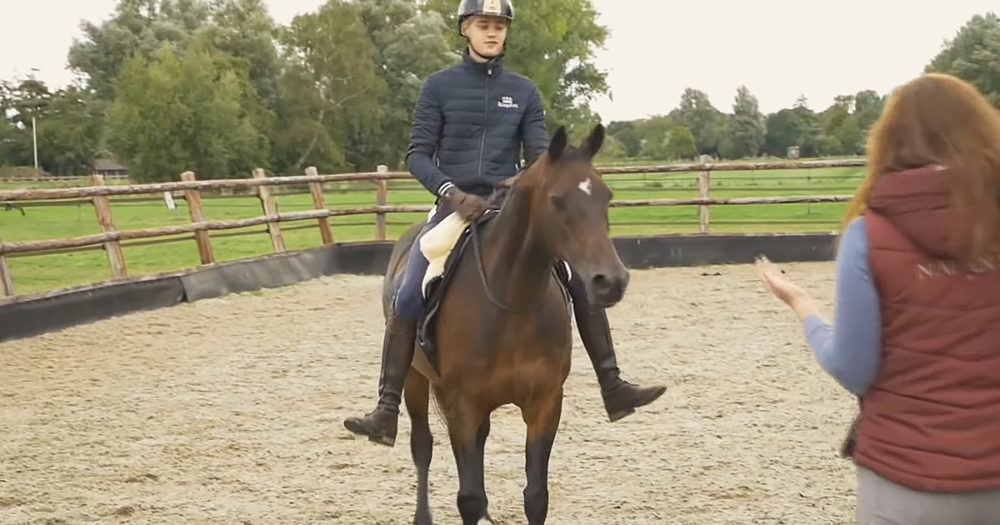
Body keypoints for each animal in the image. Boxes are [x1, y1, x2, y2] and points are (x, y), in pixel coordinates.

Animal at [381, 124, 628, 525]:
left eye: (606, 196)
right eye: (557, 200)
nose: (611, 281)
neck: (510, 298)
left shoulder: (544, 402)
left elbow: (536, 497)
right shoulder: (464, 404)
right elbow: (469, 497)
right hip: (414, 378)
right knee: (422, 445)